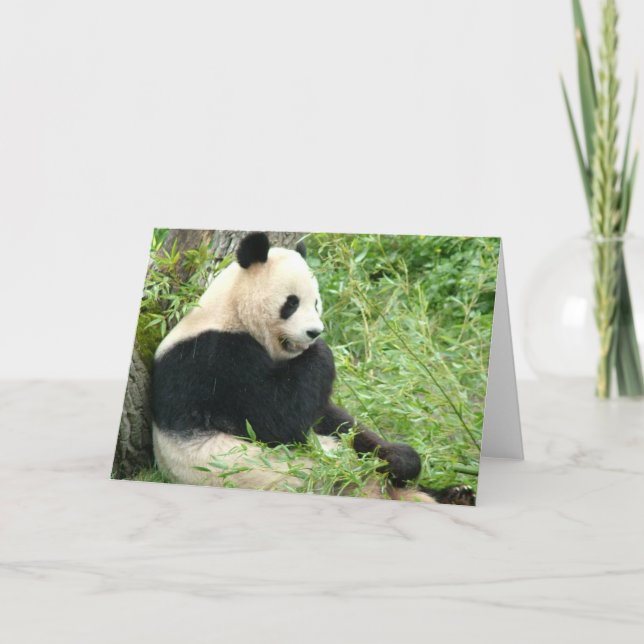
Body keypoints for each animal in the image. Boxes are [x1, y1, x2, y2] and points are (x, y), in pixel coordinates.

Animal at [151, 232, 475, 505]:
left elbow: (334, 419)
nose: (314, 332)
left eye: (316, 302)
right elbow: (277, 418)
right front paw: (321, 351)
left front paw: (398, 458)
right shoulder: (215, 362)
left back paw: (456, 493)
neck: (231, 312)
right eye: (291, 303)